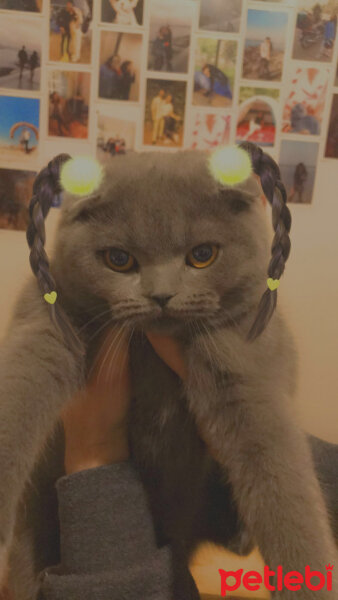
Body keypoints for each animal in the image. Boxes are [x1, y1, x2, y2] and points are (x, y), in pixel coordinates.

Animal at [0, 143, 336, 596]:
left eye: (202, 255)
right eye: (119, 260)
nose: (161, 296)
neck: (151, 353)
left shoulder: (247, 365)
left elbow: (283, 484)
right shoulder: (47, 317)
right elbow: (20, 391)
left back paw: (237, 534)